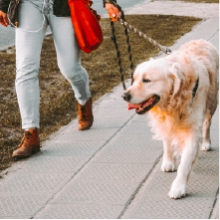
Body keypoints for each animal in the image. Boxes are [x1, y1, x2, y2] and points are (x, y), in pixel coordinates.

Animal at [122, 39, 218, 199]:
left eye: (147, 80)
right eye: (133, 80)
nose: (124, 95)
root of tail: (200, 41)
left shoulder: (193, 130)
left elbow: (185, 164)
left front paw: (178, 187)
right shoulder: (165, 122)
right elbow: (167, 142)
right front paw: (168, 161)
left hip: (212, 102)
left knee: (207, 123)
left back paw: (206, 142)